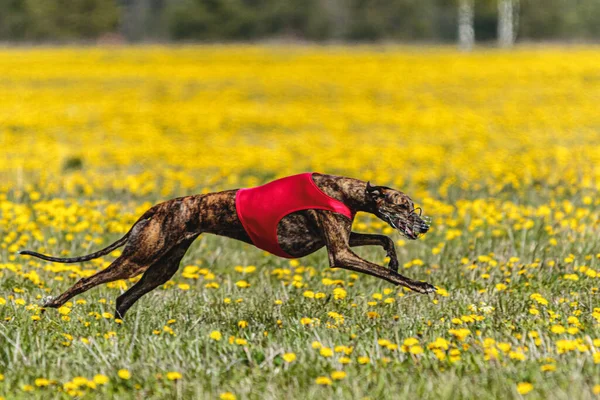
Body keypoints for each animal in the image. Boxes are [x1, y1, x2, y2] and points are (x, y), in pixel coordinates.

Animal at [17, 172, 432, 318]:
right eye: (405, 205)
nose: (424, 226)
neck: (341, 189)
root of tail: (156, 208)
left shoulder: (340, 239)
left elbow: (383, 238)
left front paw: (394, 259)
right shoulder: (340, 253)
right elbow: (386, 272)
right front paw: (420, 284)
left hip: (163, 266)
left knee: (122, 297)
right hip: (139, 257)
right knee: (86, 280)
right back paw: (52, 304)